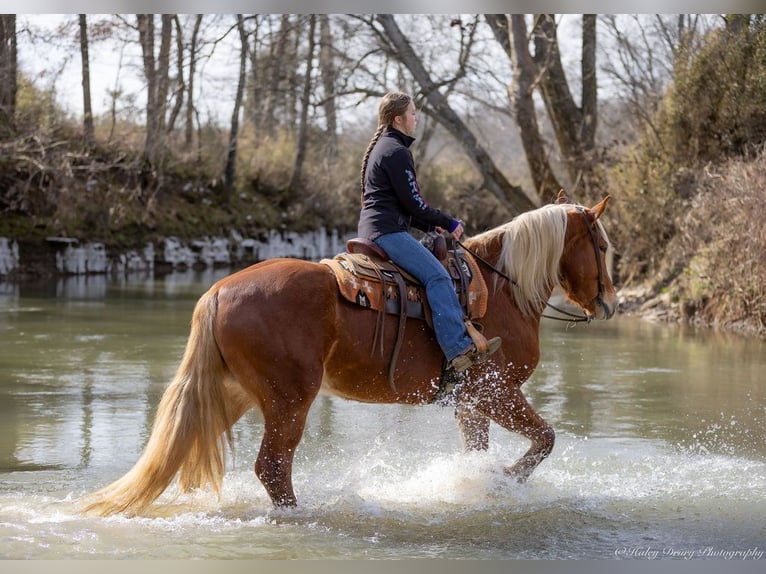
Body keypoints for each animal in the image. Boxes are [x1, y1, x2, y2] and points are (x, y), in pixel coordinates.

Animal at [81, 190, 616, 516]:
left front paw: (480, 486)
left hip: (235, 395)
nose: (610, 302)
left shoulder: (471, 403)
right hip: (289, 400)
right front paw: (505, 480)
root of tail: (217, 292)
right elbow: (544, 439)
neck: (502, 289)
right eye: (605, 246)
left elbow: (481, 452)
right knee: (272, 468)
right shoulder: (496, 392)